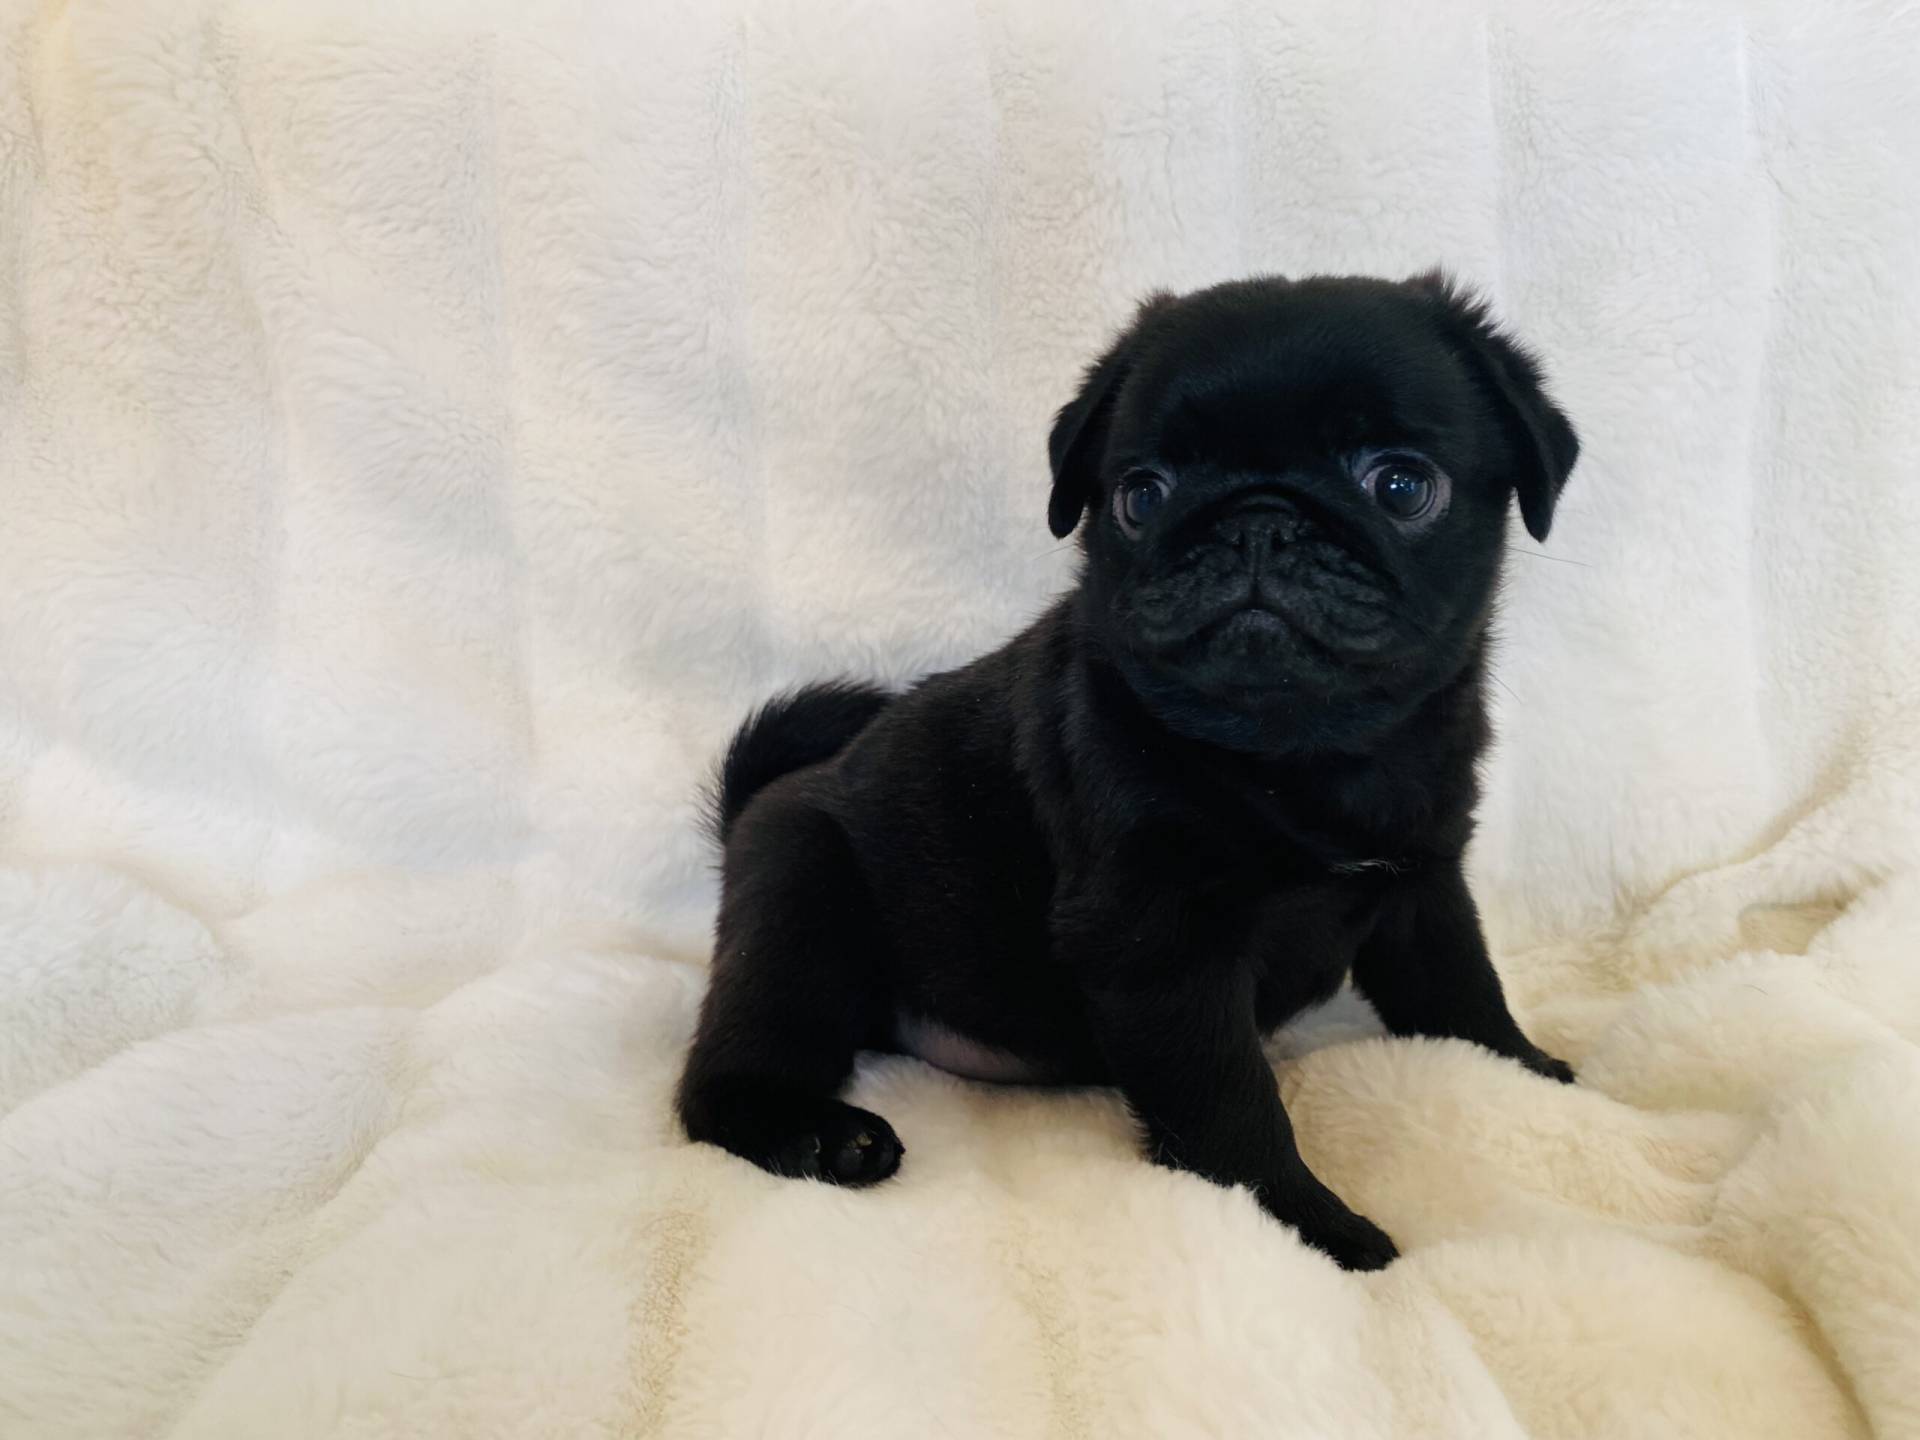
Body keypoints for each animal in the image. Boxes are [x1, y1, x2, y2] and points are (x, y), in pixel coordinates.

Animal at [677, 272, 1578, 1270]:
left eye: (1403, 485)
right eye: (1142, 496)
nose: (1259, 519)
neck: (1300, 756)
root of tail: (756, 807)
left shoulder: (1424, 884)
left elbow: (1461, 990)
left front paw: (1534, 1075)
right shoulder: (1162, 947)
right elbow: (1231, 1105)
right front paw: (1307, 1228)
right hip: (801, 901)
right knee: (727, 1074)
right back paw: (819, 1135)